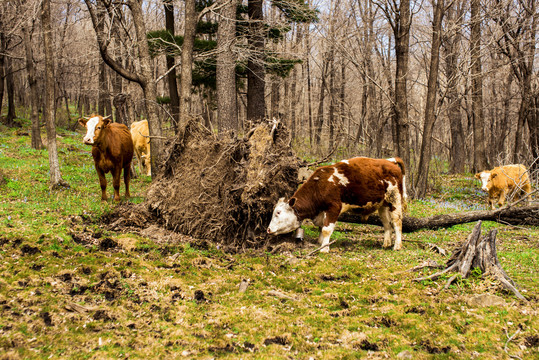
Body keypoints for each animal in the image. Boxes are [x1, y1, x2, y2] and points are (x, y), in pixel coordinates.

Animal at [268, 156, 408, 252]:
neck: (320, 185)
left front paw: (324, 248)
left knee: (397, 222)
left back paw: (397, 246)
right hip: (382, 204)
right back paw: (386, 243)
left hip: (394, 199)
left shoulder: (334, 207)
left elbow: (326, 229)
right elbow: (321, 228)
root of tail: (390, 161)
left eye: (278, 212)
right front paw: (320, 243)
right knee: (386, 224)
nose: (268, 229)